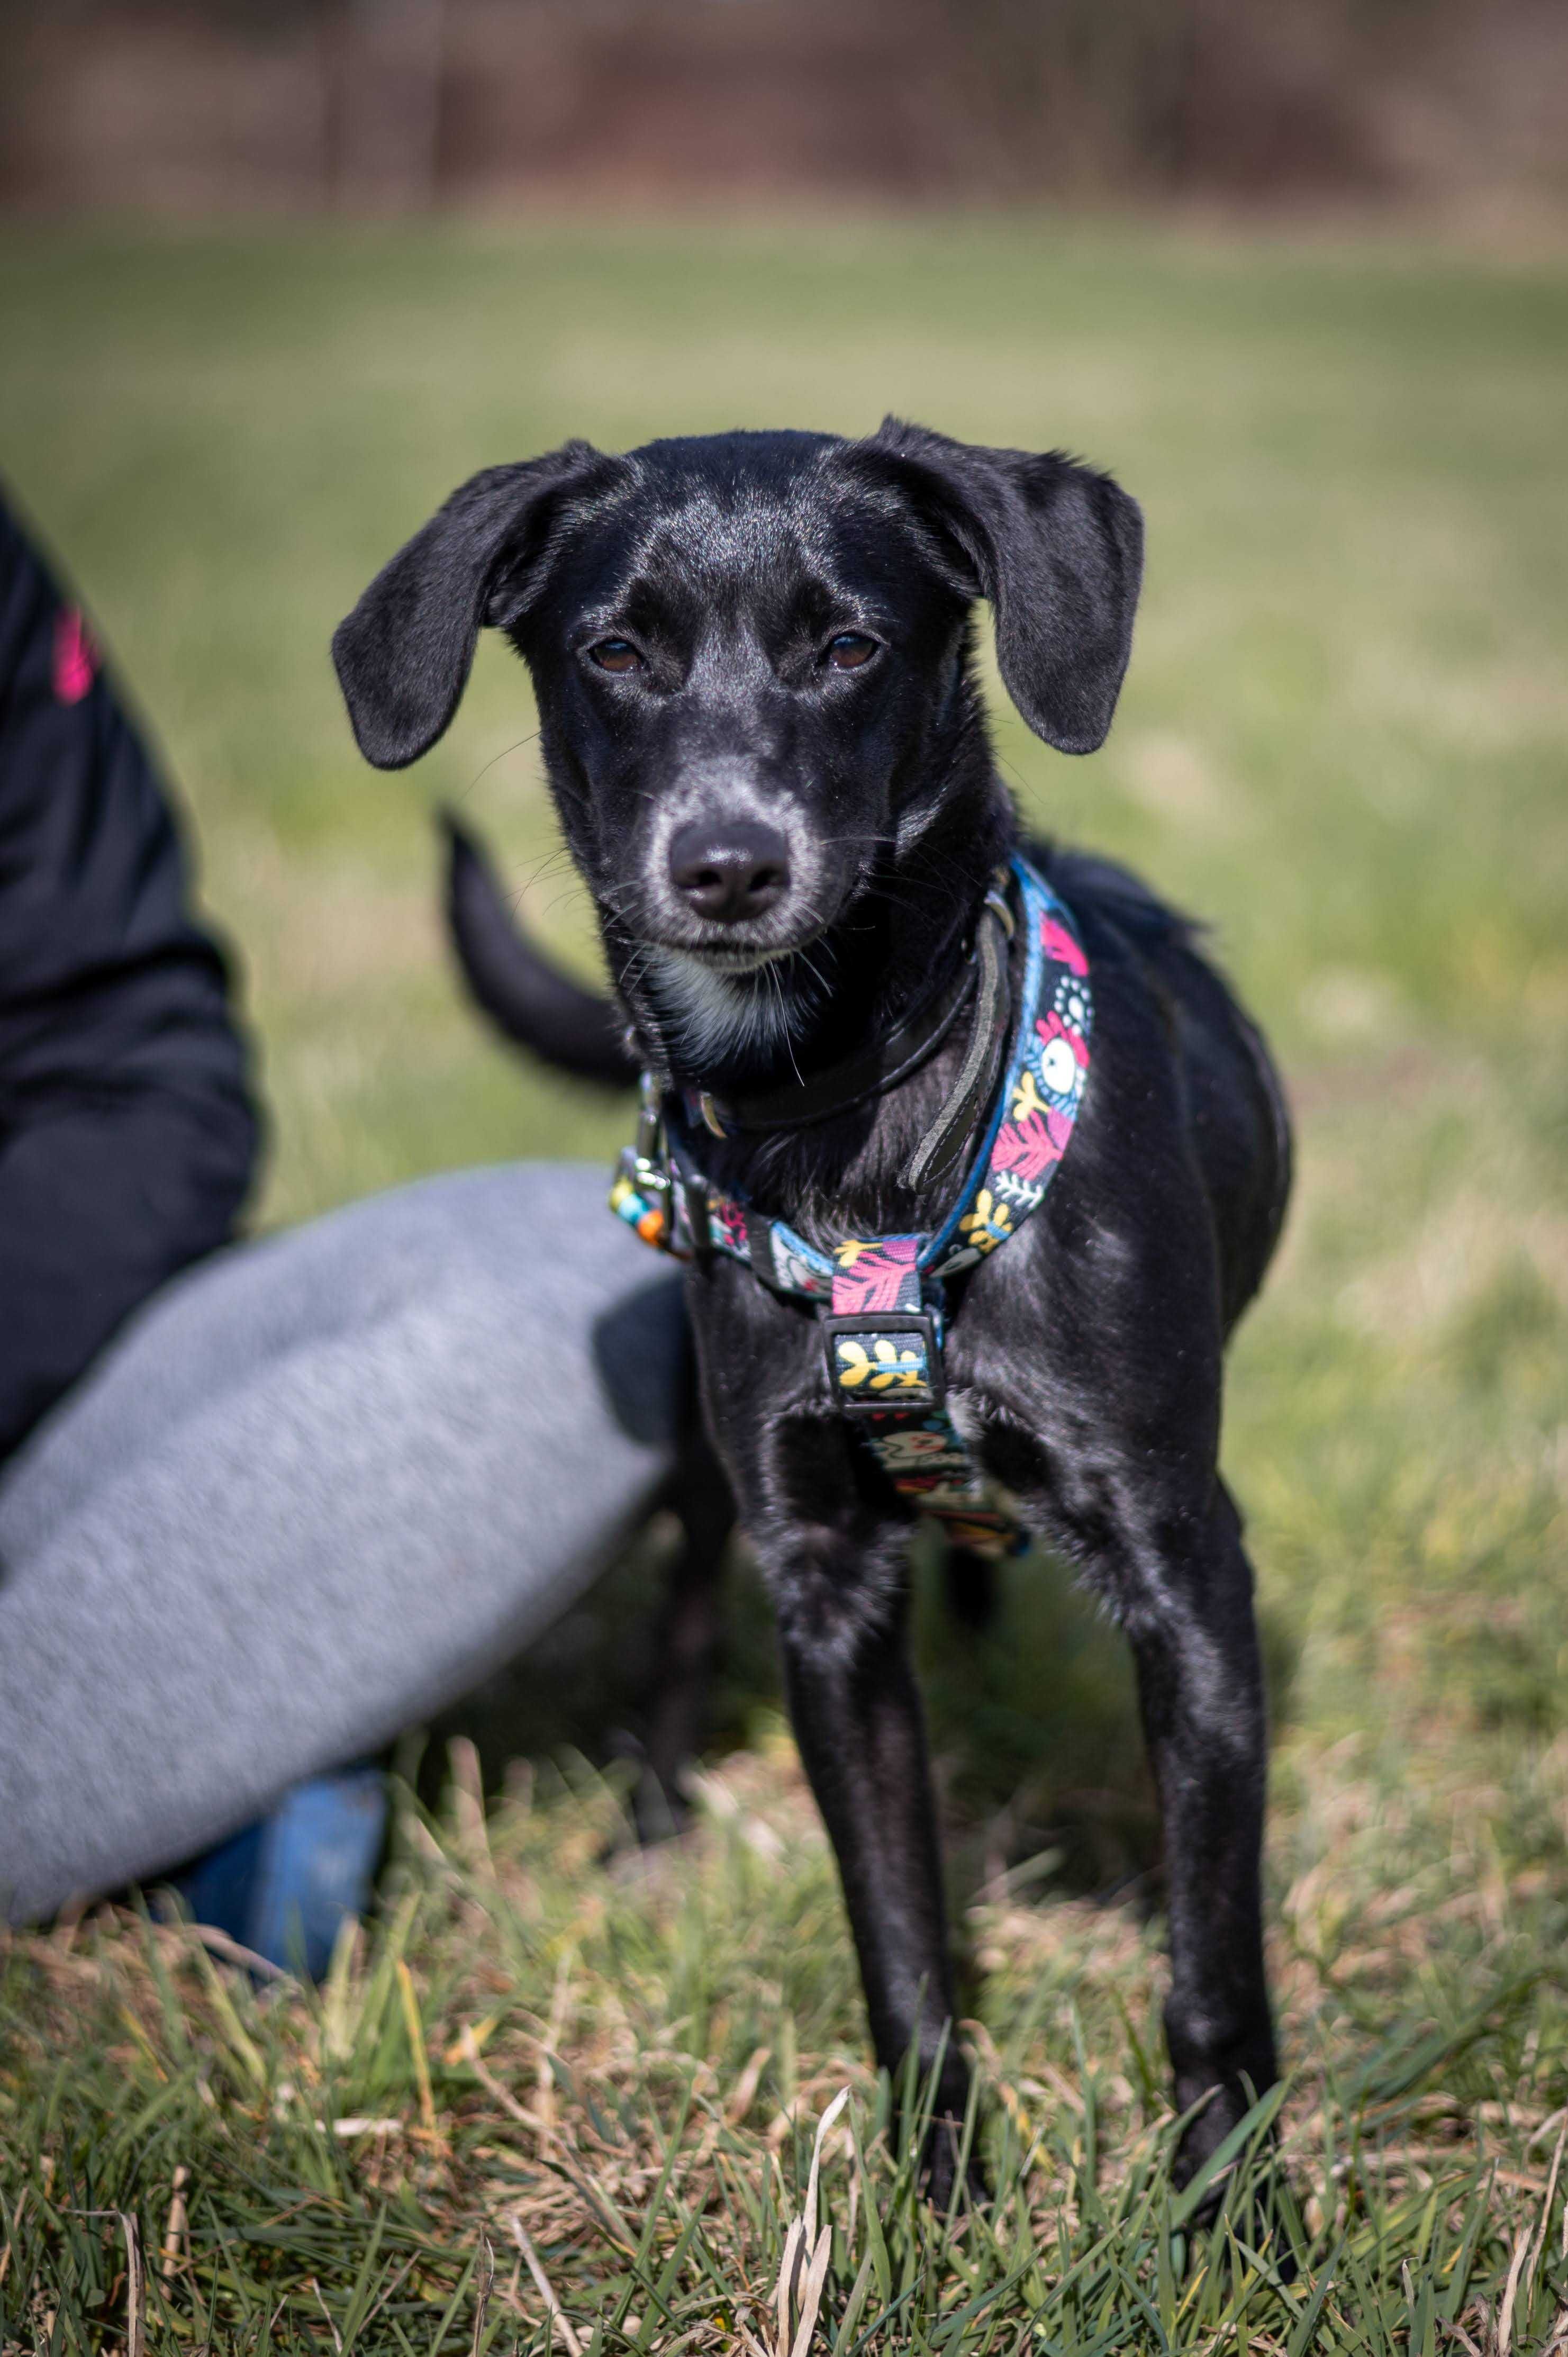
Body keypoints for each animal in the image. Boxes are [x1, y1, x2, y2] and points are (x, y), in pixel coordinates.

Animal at [330, 419, 1282, 2187]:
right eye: (614, 653)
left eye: (847, 647)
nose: (724, 864)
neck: (852, 1112)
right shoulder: (824, 1580)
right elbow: (895, 1935)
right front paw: (938, 2197)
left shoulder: (1189, 1572)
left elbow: (1210, 1968)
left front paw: (1237, 2208)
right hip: (710, 1464)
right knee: (687, 1610)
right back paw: (651, 1821)